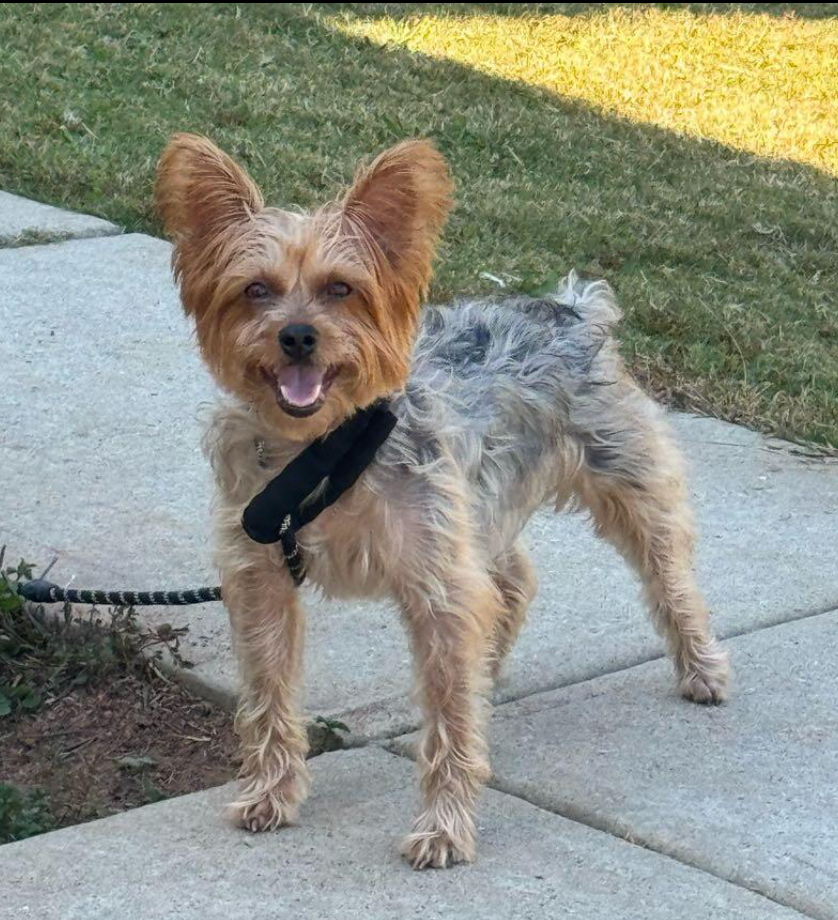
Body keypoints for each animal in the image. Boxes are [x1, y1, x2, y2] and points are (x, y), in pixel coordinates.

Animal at [155, 134, 729, 869]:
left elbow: (450, 722)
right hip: (478, 509)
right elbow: (268, 692)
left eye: (341, 289)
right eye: (256, 290)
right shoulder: (261, 578)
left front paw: (445, 827)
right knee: (513, 580)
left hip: (623, 478)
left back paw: (701, 666)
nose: (298, 335)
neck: (322, 449)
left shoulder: (439, 585)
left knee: (668, 575)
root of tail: (569, 308)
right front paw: (272, 792)